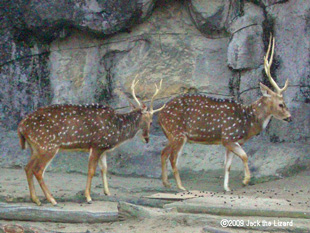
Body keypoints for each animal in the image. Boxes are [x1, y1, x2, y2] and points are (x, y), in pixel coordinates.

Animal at [17, 77, 165, 206]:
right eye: (151, 122)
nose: (147, 139)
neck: (117, 130)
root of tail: (21, 126)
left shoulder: (103, 147)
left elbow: (104, 168)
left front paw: (107, 192)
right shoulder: (97, 145)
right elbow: (91, 170)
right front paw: (88, 197)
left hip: (35, 147)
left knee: (27, 168)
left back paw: (36, 199)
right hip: (48, 146)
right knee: (38, 170)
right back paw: (52, 200)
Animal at [159, 36, 292, 192]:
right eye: (281, 104)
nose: (289, 117)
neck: (247, 120)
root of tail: (160, 115)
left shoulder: (230, 141)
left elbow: (227, 165)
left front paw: (227, 188)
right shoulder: (228, 136)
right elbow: (245, 156)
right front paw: (245, 180)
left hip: (171, 135)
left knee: (163, 152)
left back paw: (166, 183)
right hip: (178, 133)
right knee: (173, 158)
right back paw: (181, 186)